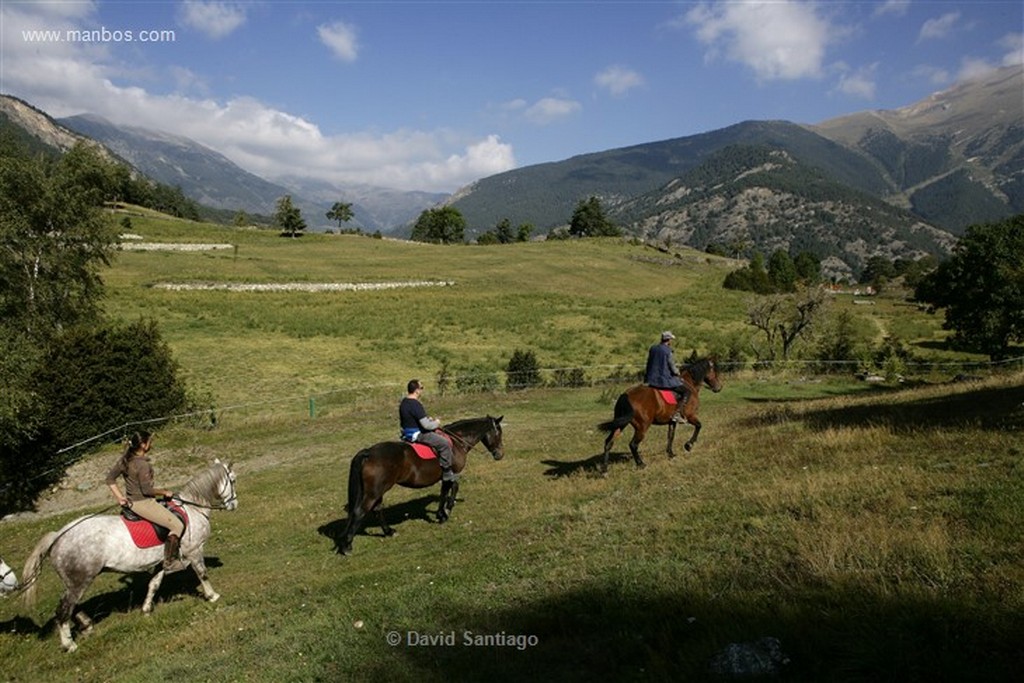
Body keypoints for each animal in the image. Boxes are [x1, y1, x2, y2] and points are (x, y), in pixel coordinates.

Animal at [22, 458, 237, 651]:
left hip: (75, 582)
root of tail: (58, 536)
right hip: (80, 580)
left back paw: (87, 625)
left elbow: (154, 584)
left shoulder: (162, 561)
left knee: (72, 606)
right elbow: (202, 573)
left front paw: (146, 609)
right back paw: (69, 644)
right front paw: (212, 595)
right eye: (233, 480)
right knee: (64, 610)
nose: (234, 505)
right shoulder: (194, 550)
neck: (192, 508)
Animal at [339, 417, 503, 557]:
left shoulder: (445, 477)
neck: (456, 442)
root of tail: (368, 452)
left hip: (377, 490)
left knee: (377, 509)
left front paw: (441, 514)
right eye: (498, 433)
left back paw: (388, 531)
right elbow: (453, 488)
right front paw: (446, 511)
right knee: (360, 512)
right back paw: (347, 546)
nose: (500, 455)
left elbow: (444, 492)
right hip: (374, 491)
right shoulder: (452, 473)